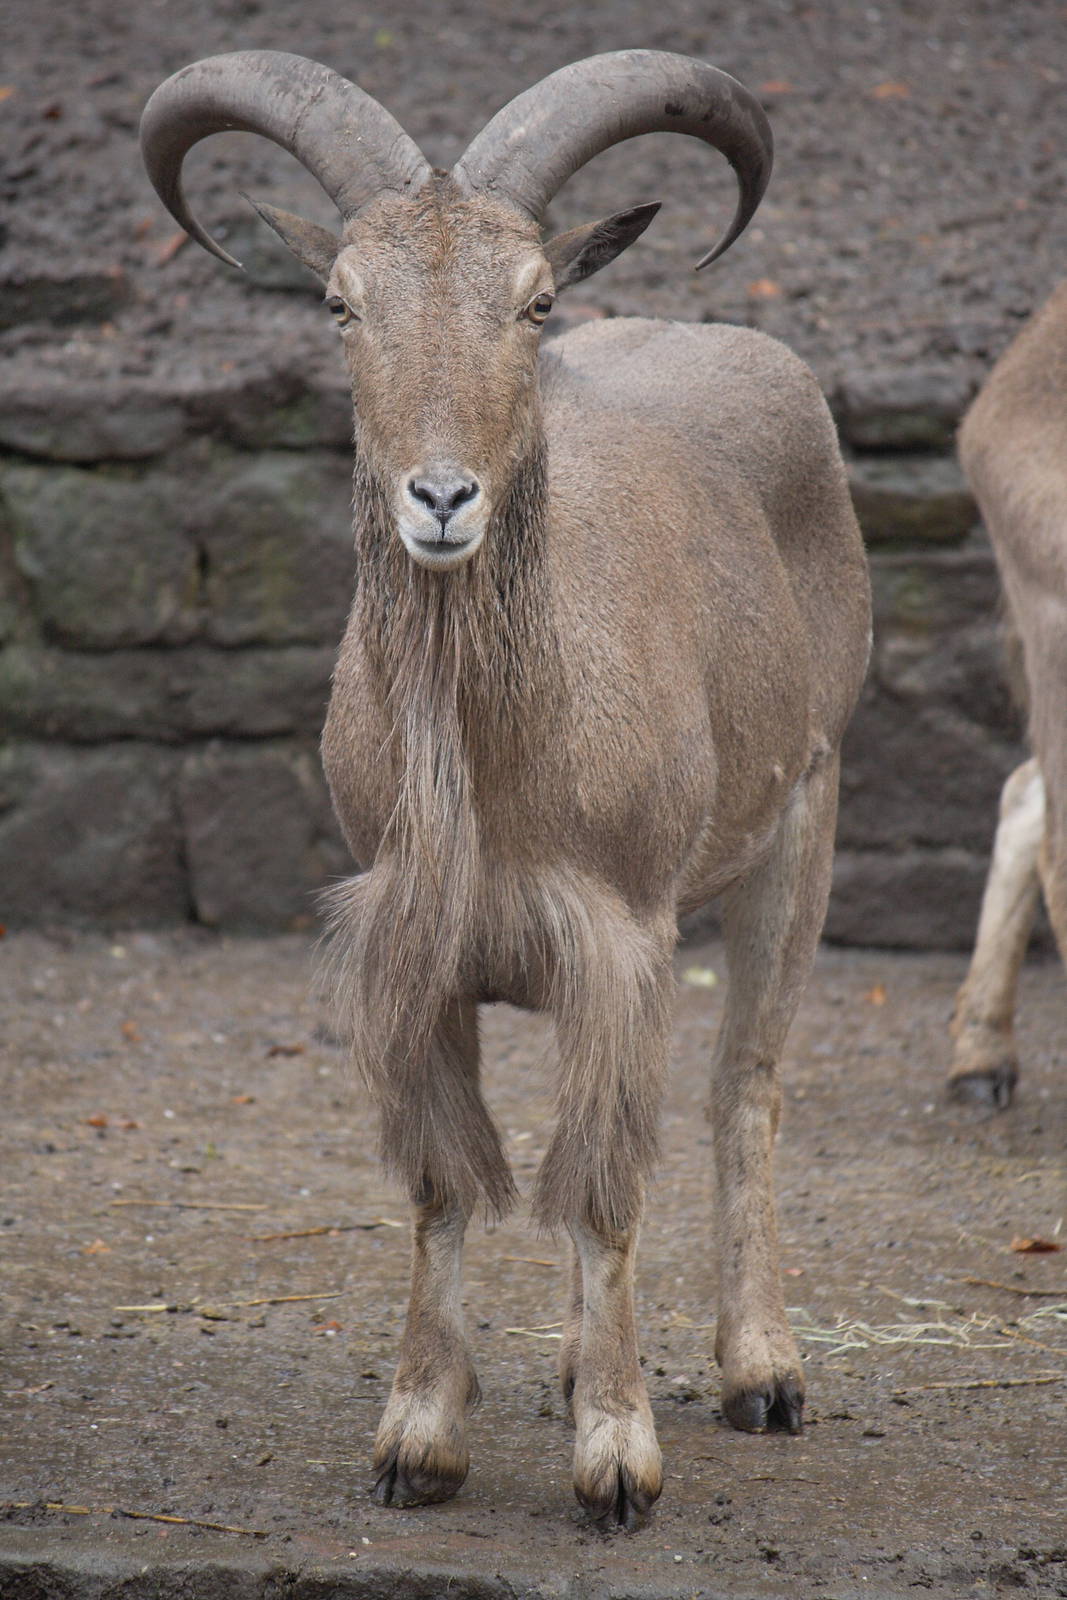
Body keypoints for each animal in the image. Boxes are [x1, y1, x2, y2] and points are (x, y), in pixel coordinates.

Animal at [141, 48, 872, 1527]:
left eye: (534, 300)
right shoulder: (415, 940)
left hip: (802, 818)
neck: (492, 751)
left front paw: (616, 1457)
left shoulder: (619, 938)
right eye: (339, 299)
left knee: (746, 1089)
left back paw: (760, 1370)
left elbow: (602, 1186)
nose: (439, 498)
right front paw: (418, 1438)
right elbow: (444, 1176)